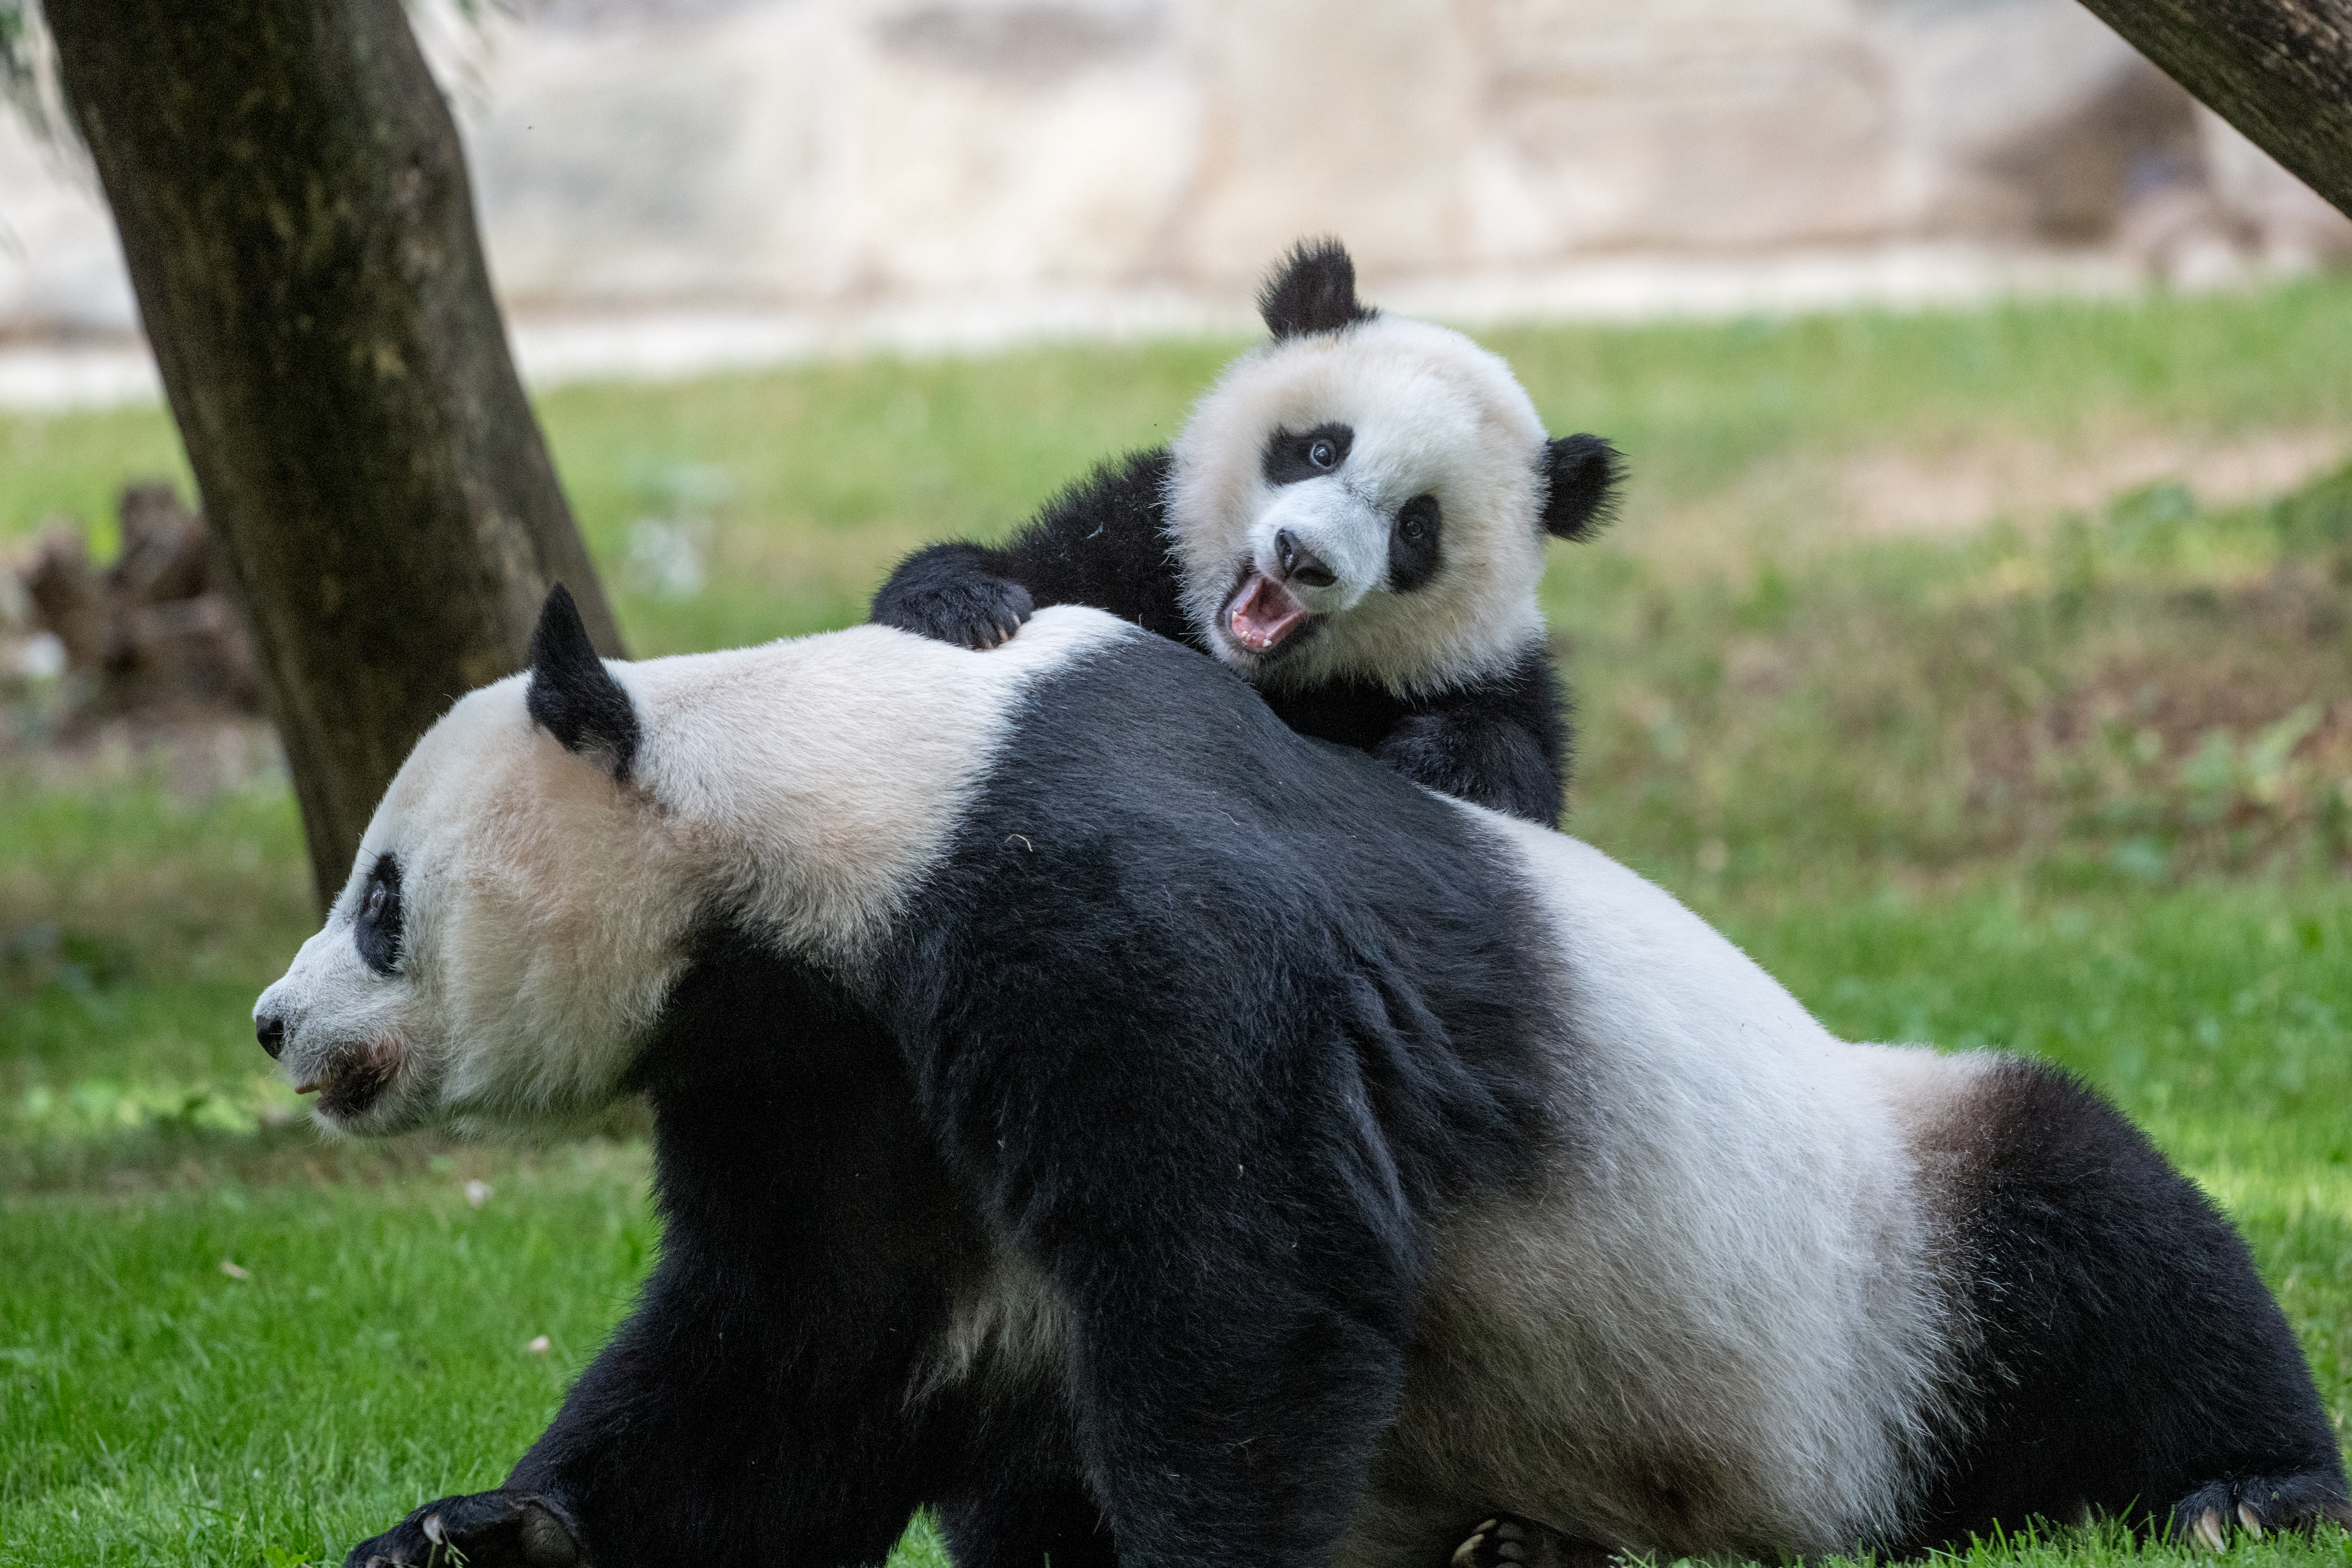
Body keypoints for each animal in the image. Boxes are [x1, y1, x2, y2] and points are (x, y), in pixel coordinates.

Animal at [267, 588, 2342, 1568]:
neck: (829, 790)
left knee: (2096, 1224)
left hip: (1868, 1254)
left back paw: (2245, 1485)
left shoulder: (1083, 896)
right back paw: (1519, 1544)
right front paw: (491, 1531)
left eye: (380, 894)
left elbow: (1239, 1273)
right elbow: (803, 1347)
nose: (278, 1027)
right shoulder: (822, 1066)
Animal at [875, 240, 1627, 827]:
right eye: (1322, 450)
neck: (1254, 668)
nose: (1303, 557)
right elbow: (1031, 572)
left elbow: (1516, 763)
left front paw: (1438, 757)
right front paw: (968, 604)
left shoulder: (1482, 670)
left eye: (1415, 527)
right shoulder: (1133, 538)